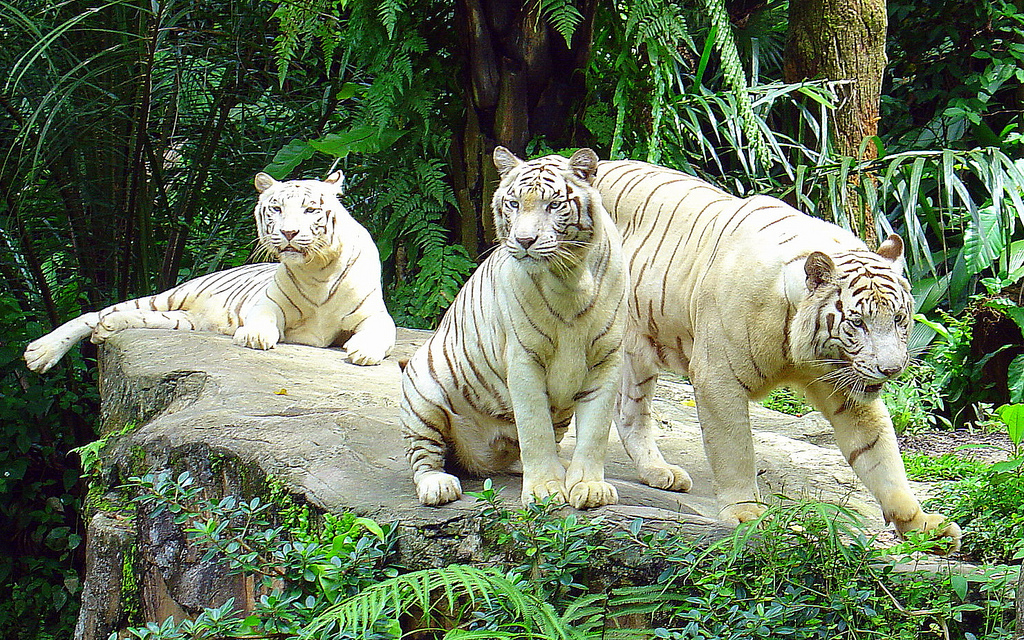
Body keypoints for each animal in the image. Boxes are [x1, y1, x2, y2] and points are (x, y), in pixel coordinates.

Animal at [24, 169, 395, 372]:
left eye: (310, 209)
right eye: (276, 208)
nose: (289, 233)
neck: (316, 270)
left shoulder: (374, 313)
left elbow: (381, 331)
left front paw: (364, 351)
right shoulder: (269, 303)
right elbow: (262, 320)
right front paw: (255, 336)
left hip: (183, 319)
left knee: (127, 318)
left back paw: (108, 328)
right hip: (168, 297)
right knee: (95, 313)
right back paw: (40, 353)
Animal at [403, 146, 626, 509]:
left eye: (554, 205)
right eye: (514, 204)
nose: (524, 240)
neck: (569, 278)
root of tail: (480, 459)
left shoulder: (607, 360)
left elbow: (595, 431)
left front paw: (589, 486)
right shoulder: (524, 360)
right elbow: (535, 428)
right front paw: (545, 489)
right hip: (423, 390)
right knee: (425, 456)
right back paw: (438, 485)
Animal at [593, 158, 958, 548]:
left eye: (900, 318)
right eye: (858, 322)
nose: (892, 369)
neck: (801, 349)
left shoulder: (848, 389)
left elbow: (881, 456)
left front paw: (921, 524)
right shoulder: (717, 379)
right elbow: (734, 449)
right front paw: (746, 513)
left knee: (628, 409)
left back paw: (658, 471)